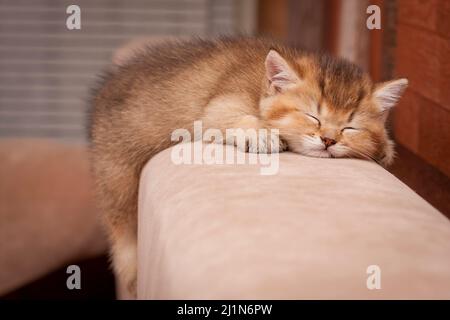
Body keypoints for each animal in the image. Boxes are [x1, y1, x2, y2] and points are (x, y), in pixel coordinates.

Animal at [89, 38, 408, 298]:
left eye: (349, 127)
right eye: (312, 116)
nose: (329, 140)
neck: (262, 85)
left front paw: (384, 148)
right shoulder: (218, 107)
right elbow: (231, 118)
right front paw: (261, 134)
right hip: (117, 177)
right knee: (122, 233)